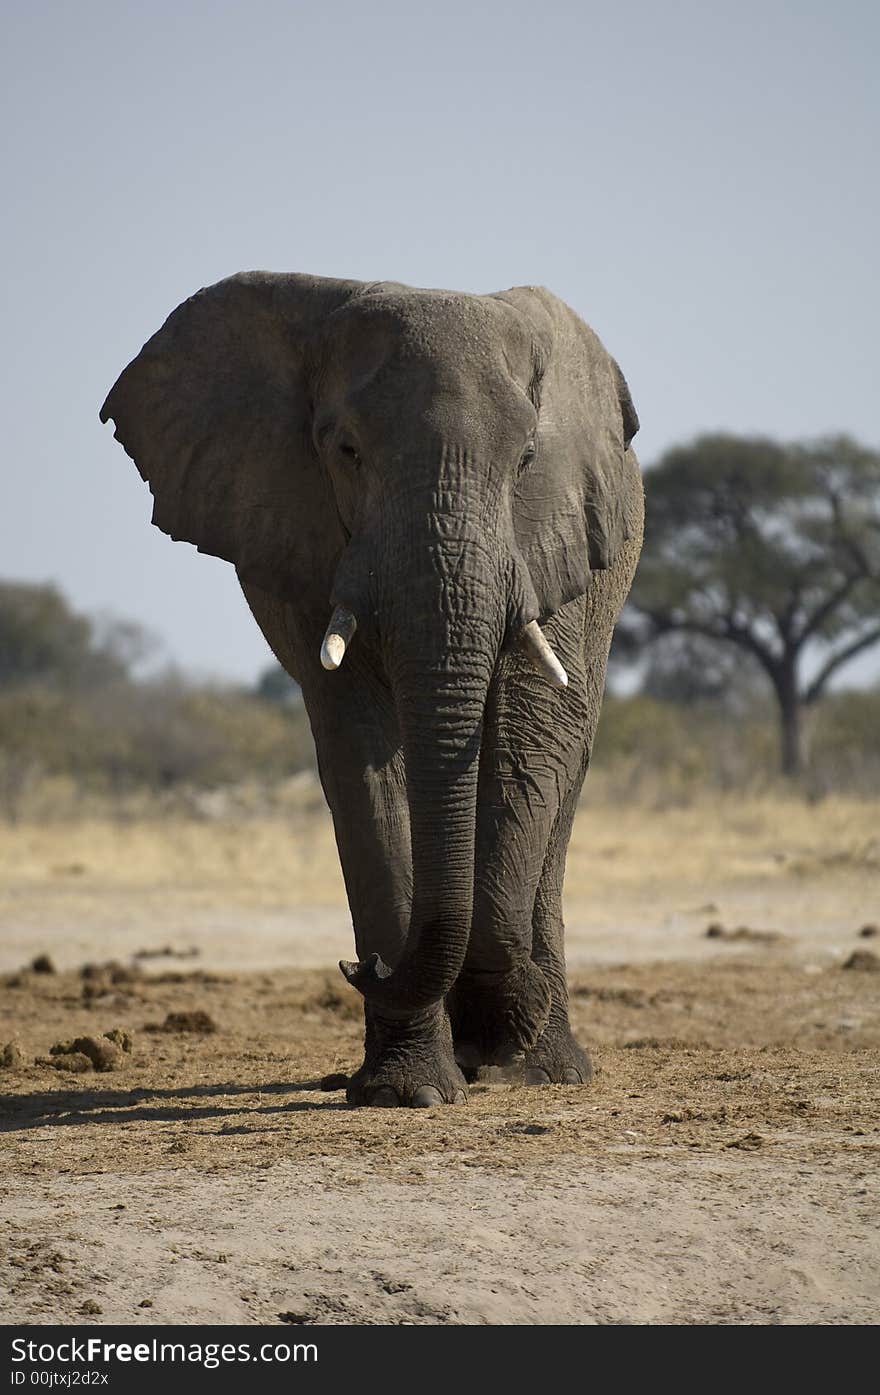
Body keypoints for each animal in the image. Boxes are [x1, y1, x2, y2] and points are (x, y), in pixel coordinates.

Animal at [99, 272, 644, 1110]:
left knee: (565, 773)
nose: (363, 967)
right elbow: (361, 753)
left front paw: (498, 1035)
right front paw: (408, 1090)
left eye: (525, 458)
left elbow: (533, 729)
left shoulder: (555, 536)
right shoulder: (306, 544)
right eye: (345, 450)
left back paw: (542, 1065)